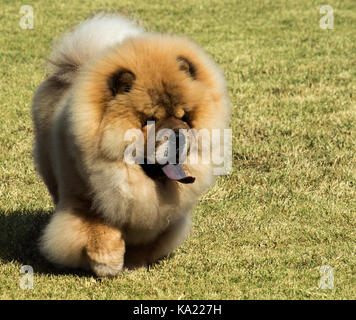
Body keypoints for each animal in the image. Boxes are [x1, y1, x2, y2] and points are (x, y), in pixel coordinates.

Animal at [32, 13, 229, 276]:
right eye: (149, 121)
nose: (178, 134)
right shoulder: (86, 199)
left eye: (184, 117)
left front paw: (135, 264)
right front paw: (107, 264)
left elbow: (149, 238)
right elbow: (98, 233)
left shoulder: (158, 217)